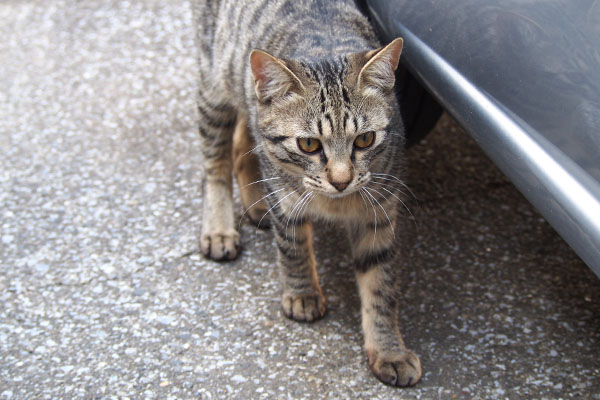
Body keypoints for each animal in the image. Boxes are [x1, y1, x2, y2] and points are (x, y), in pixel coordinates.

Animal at [193, 0, 422, 388]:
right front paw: (303, 294)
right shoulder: (285, 200)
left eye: (365, 140)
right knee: (216, 160)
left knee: (243, 138)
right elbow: (294, 248)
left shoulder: (379, 212)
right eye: (309, 145)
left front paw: (389, 350)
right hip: (214, 83)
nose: (342, 180)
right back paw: (219, 227)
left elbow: (380, 286)